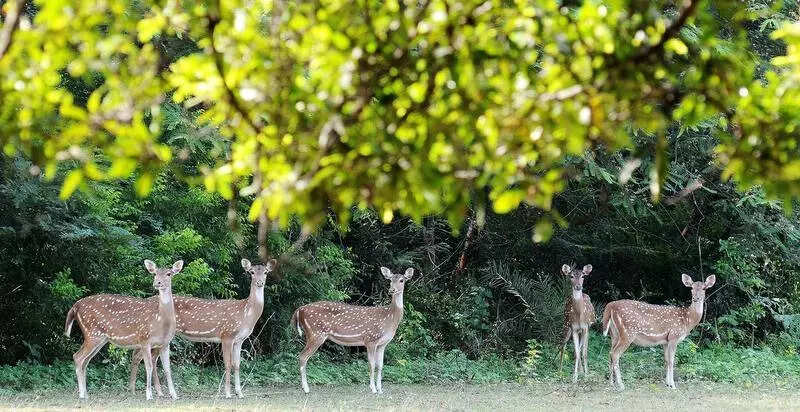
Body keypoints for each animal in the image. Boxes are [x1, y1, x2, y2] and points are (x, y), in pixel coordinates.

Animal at [64, 259, 184, 400]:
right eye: (154, 273)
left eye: (169, 273)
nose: (157, 283)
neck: (161, 322)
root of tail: (75, 306)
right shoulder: (144, 339)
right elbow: (148, 367)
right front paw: (149, 395)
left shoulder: (165, 344)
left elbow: (167, 369)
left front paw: (174, 395)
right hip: (92, 334)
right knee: (77, 357)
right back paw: (82, 394)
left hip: (99, 339)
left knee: (85, 361)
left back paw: (86, 394)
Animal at [129, 258, 277, 398]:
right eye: (251, 272)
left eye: (265, 272)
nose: (260, 282)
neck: (245, 314)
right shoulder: (227, 334)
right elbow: (227, 364)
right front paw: (228, 393)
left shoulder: (239, 340)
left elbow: (237, 365)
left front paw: (239, 393)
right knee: (139, 356)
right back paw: (136, 390)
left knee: (149, 358)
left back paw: (158, 392)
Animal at [291, 266, 413, 394]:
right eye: (390, 280)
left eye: (401, 280)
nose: (392, 290)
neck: (389, 318)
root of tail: (299, 310)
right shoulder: (370, 339)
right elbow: (372, 364)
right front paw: (373, 389)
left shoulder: (382, 344)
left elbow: (380, 365)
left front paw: (380, 390)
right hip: (315, 333)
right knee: (302, 356)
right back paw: (306, 388)